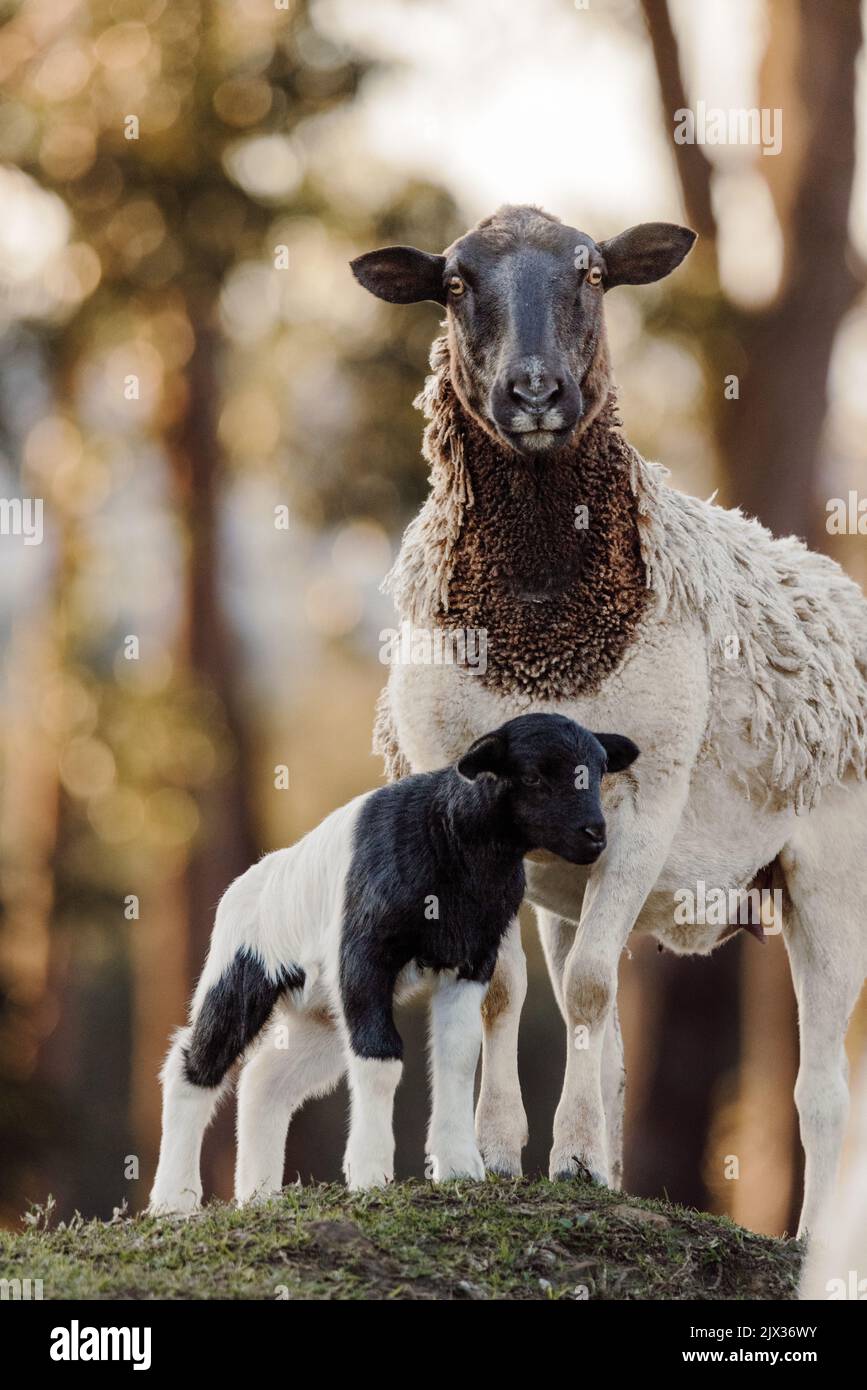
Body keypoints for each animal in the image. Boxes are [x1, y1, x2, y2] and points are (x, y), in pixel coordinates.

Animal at [148, 713, 639, 1212]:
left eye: (601, 771)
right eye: (535, 776)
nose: (596, 834)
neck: (451, 837)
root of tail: (249, 881)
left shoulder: (471, 960)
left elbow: (459, 1055)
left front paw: (460, 1166)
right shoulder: (363, 958)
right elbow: (381, 1057)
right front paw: (369, 1174)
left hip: (322, 1014)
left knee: (266, 1079)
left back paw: (260, 1197)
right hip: (239, 974)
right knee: (192, 1067)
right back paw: (174, 1202)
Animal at [351, 203, 867, 1236]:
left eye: (591, 274)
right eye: (455, 284)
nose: (534, 390)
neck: (543, 618)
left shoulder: (648, 793)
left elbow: (588, 988)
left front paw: (578, 1161)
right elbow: (508, 991)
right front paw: (502, 1157)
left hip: (833, 875)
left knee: (822, 1090)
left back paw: (807, 1242)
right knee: (617, 1042)